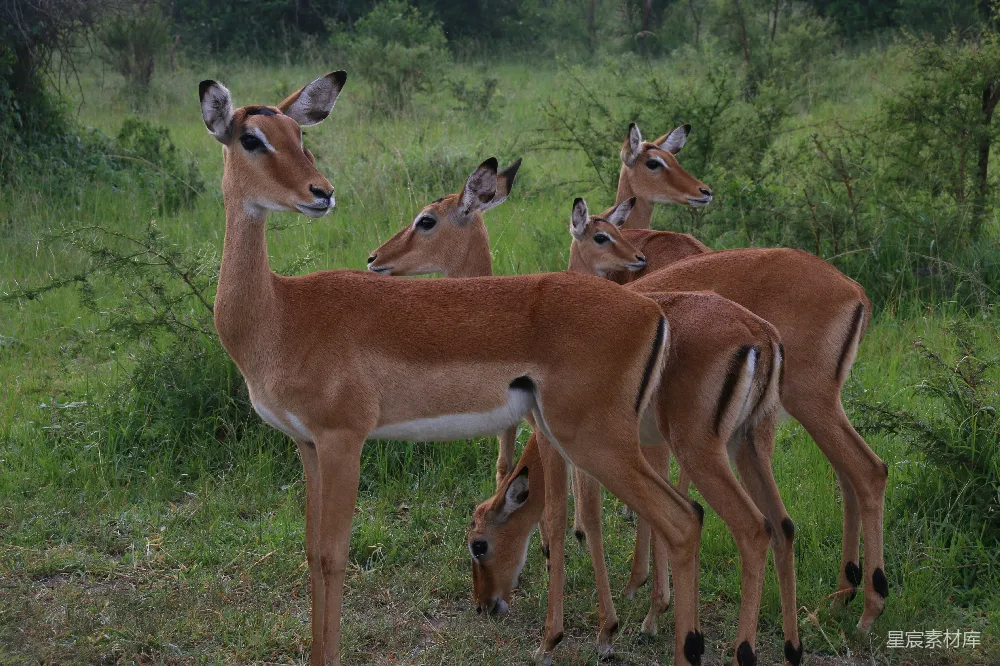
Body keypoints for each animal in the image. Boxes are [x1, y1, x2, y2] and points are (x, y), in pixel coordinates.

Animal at [198, 73, 707, 666]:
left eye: (299, 135)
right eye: (252, 138)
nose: (321, 193)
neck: (280, 313)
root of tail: (652, 310)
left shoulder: (344, 439)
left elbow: (332, 555)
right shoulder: (307, 445)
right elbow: (309, 551)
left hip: (595, 439)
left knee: (679, 519)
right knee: (686, 513)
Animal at [371, 192, 800, 665]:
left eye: (478, 544)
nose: (484, 605)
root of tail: (761, 335)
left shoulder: (552, 438)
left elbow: (570, 516)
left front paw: (586, 630)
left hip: (693, 449)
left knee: (739, 525)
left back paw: (730, 645)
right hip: (746, 444)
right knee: (780, 525)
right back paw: (790, 645)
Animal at [612, 121, 888, 633]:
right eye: (655, 161)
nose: (702, 192)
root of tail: (856, 290)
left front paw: (647, 599)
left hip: (806, 403)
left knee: (868, 471)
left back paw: (868, 608)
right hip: (811, 409)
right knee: (847, 479)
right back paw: (837, 598)